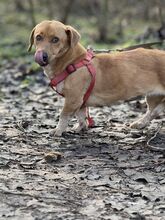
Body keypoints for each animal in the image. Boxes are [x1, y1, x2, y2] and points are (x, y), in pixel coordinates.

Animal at [28, 20, 165, 136]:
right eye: (38, 37)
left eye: (55, 39)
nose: (42, 56)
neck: (73, 61)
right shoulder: (80, 102)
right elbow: (81, 115)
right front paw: (81, 127)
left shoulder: (73, 99)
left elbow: (63, 115)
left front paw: (58, 130)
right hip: (153, 97)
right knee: (154, 111)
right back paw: (141, 123)